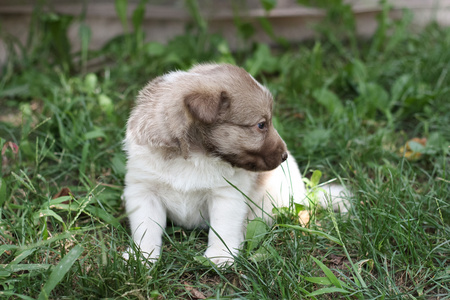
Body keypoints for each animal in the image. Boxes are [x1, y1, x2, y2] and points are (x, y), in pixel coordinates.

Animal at [122, 63, 348, 264]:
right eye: (261, 125)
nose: (284, 155)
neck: (192, 157)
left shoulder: (226, 196)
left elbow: (222, 229)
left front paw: (219, 256)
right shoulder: (144, 192)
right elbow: (146, 228)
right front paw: (142, 256)